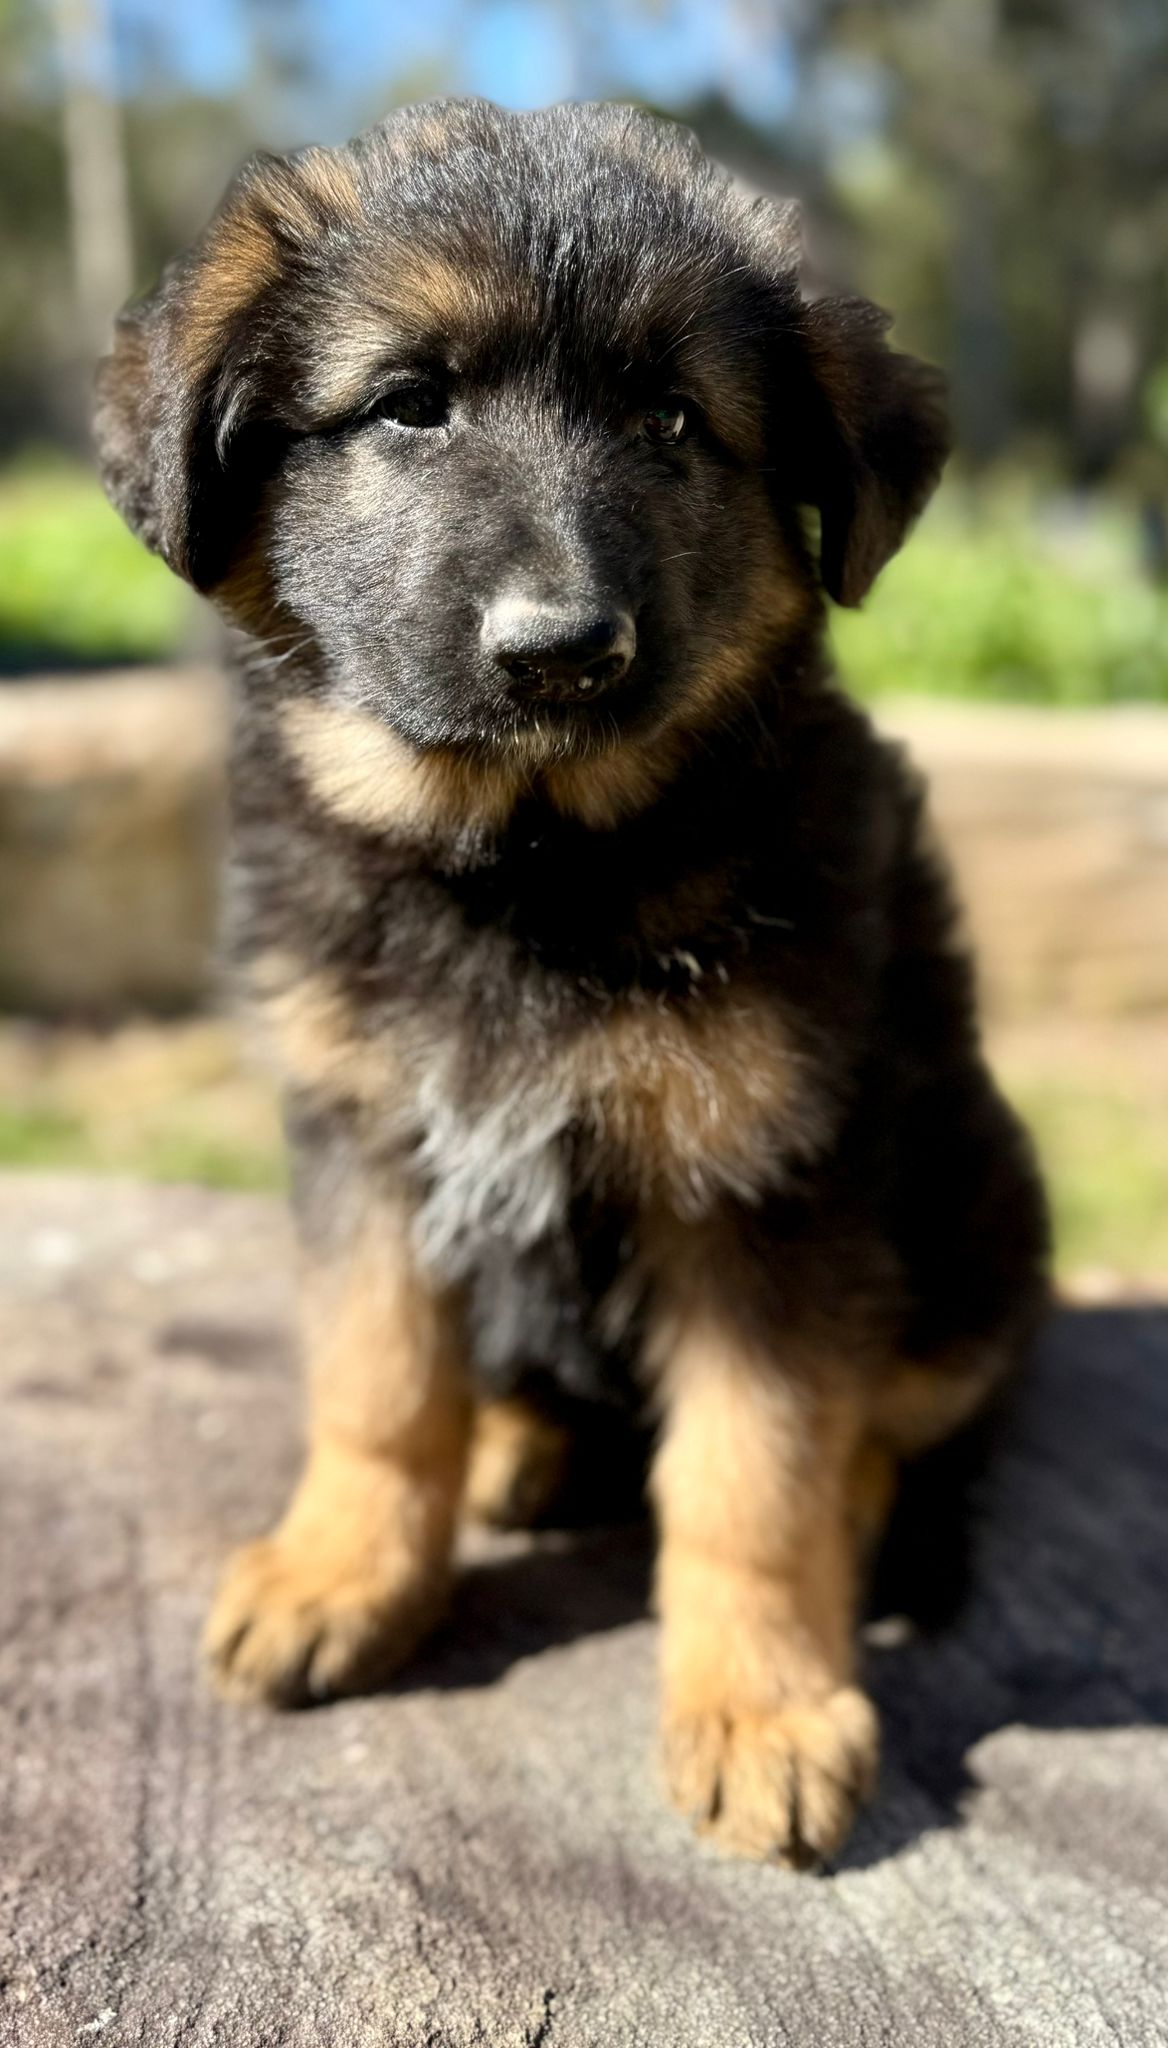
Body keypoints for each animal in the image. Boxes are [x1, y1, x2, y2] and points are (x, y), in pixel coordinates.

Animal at [95, 97, 1049, 1867]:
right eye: (410, 404)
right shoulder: (364, 1130)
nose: (562, 652)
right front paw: (345, 1569)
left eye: (675, 420)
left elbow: (754, 1467)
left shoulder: (769, 1176)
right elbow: (376, 1380)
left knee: (893, 1417)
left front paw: (762, 1702)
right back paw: (515, 1447)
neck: (522, 864)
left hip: (978, 1208)